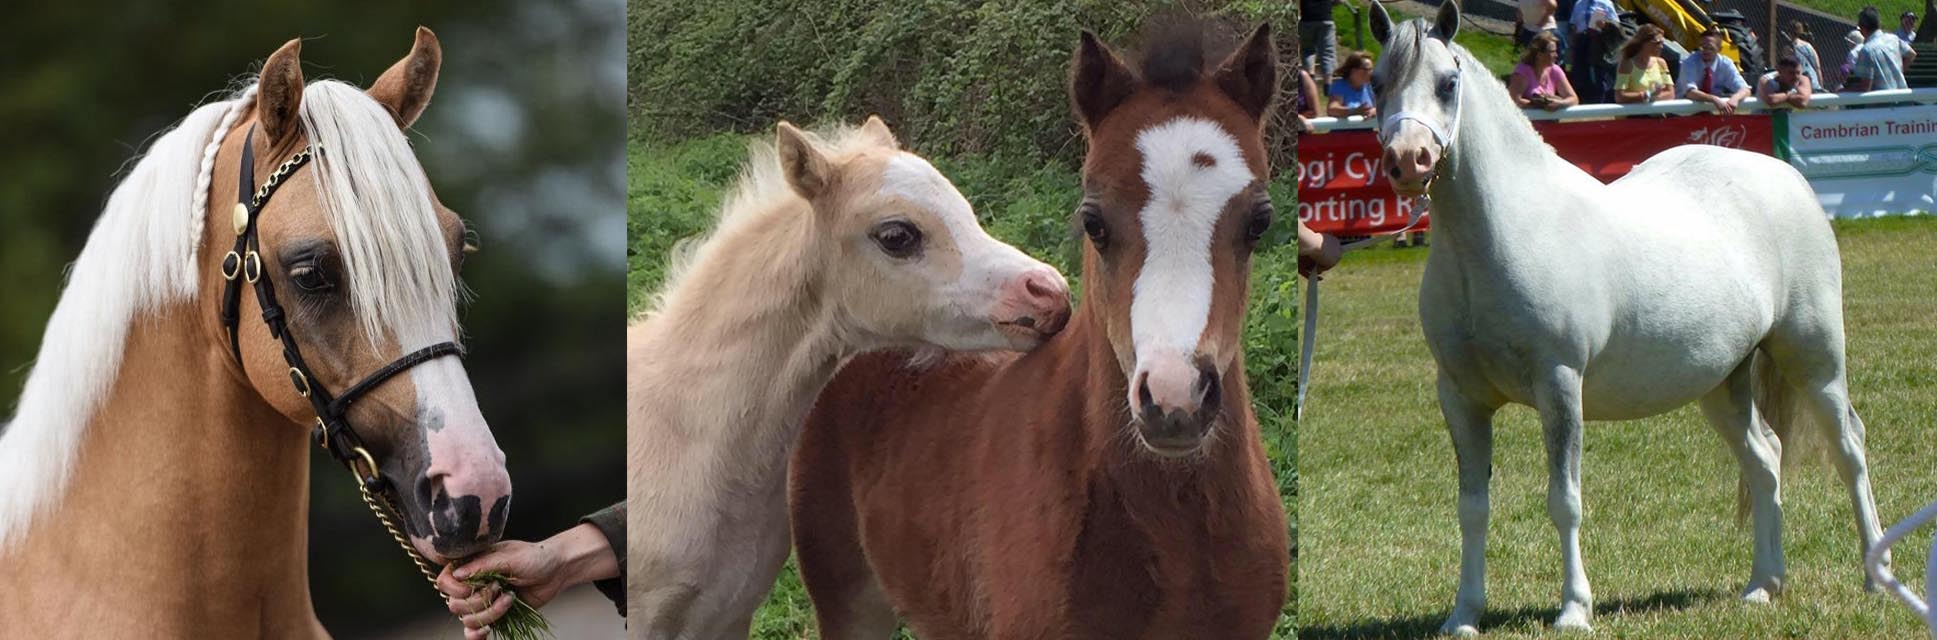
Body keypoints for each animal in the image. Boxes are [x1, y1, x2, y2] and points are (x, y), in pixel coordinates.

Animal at [1363, 2, 1890, 636]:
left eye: (1447, 83)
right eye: (1376, 83)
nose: (1407, 160)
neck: (1506, 231)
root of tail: (1785, 178)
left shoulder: (1560, 385)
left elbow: (1564, 501)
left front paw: (1574, 609)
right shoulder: (1460, 396)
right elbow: (1472, 508)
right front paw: (1464, 614)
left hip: (1814, 358)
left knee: (1849, 448)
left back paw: (1876, 577)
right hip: (1723, 382)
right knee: (1765, 458)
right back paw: (1763, 585)